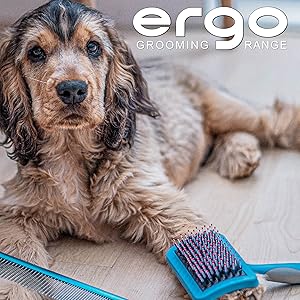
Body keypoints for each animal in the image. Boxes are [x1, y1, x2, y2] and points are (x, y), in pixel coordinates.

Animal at [0, 0, 298, 298]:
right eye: (35, 52)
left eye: (93, 47)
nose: (72, 89)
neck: (72, 148)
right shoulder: (14, 213)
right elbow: (17, 262)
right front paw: (17, 290)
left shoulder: (156, 197)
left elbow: (192, 232)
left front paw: (235, 287)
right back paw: (239, 155)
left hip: (225, 108)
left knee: (274, 118)